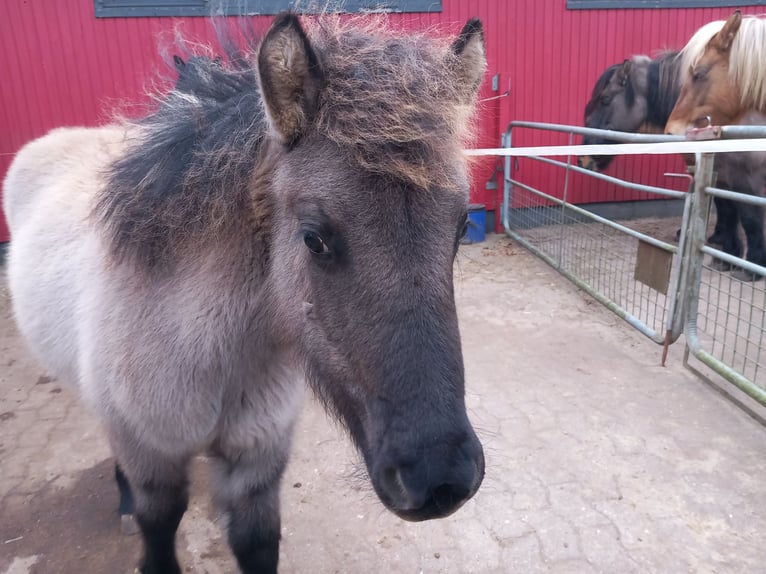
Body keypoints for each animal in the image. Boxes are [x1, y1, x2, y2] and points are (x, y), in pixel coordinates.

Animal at [2, 13, 487, 574]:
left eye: (460, 229)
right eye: (314, 238)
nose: (440, 477)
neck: (209, 352)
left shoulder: (256, 464)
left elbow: (257, 543)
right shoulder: (153, 460)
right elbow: (158, 530)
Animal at [666, 11, 766, 280]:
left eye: (699, 73)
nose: (671, 131)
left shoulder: (748, 181)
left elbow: (750, 218)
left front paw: (752, 267)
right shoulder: (726, 178)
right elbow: (731, 212)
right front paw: (728, 259)